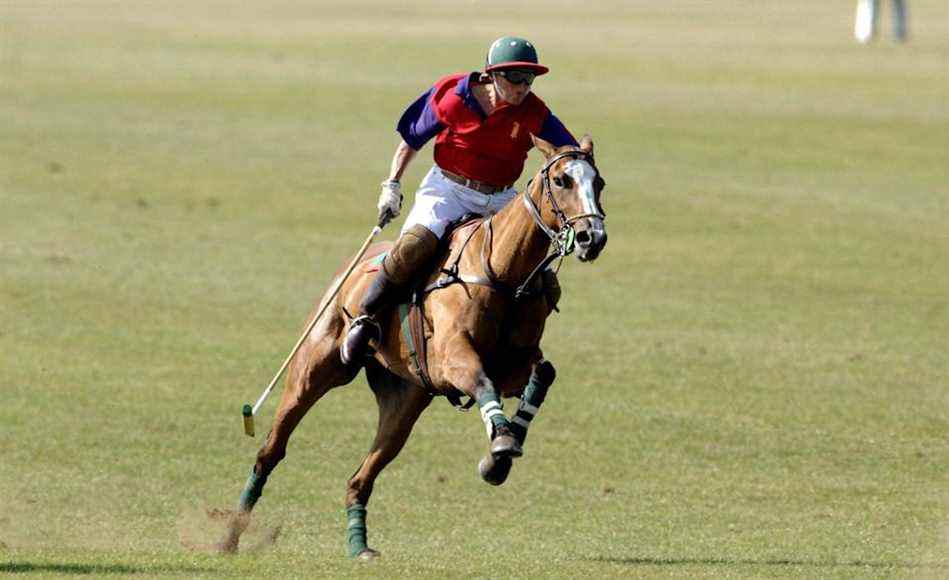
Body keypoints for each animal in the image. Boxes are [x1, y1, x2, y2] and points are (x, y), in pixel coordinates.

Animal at [220, 135, 608, 556]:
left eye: (599, 183)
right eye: (561, 180)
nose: (592, 238)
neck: (503, 272)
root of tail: (349, 270)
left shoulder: (513, 364)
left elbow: (543, 373)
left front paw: (500, 454)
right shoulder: (452, 360)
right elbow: (481, 381)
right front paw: (501, 444)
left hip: (404, 401)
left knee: (360, 478)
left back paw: (359, 546)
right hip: (312, 371)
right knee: (270, 451)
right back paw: (230, 535)